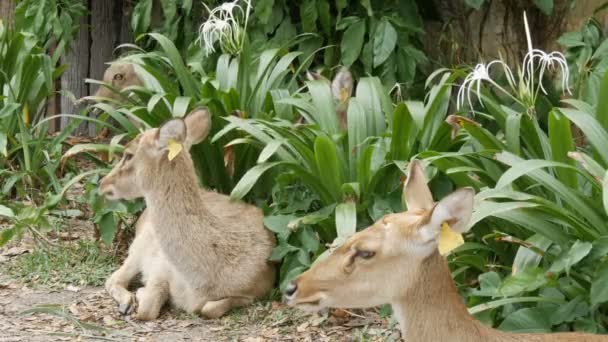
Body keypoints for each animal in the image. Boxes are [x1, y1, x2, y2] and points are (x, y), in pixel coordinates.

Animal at [100, 108, 276, 320]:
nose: (103, 183)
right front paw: (140, 295)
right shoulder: (160, 267)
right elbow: (147, 309)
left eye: (128, 154)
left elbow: (210, 308)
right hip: (138, 246)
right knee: (113, 278)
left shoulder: (260, 287)